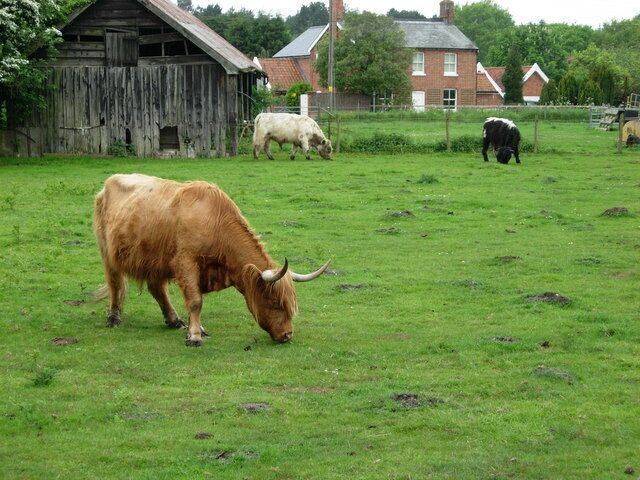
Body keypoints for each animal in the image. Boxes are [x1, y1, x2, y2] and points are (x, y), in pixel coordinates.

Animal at [93, 174, 330, 347]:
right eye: (275, 302)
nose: (288, 335)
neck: (215, 223)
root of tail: (108, 183)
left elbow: (192, 299)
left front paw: (194, 329)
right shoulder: (185, 262)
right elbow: (195, 301)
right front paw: (195, 336)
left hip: (155, 259)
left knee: (157, 288)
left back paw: (173, 320)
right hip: (108, 253)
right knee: (115, 284)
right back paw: (114, 317)